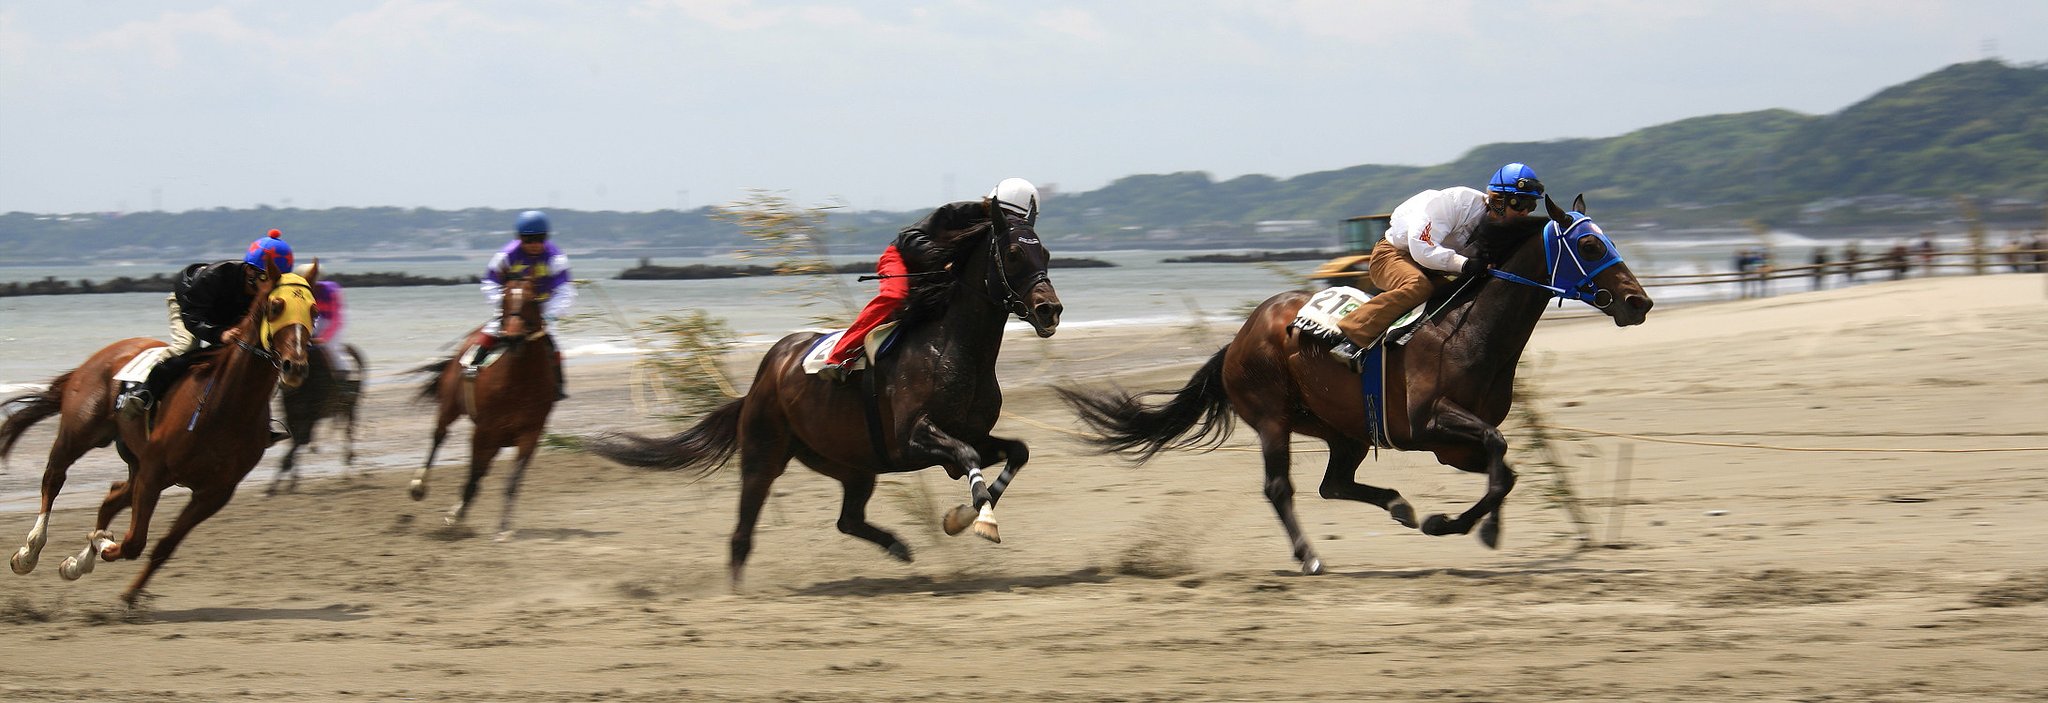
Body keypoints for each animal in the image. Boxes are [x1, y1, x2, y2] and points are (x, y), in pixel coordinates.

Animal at [0, 262, 313, 604]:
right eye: (275, 306)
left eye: (313, 310)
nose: (295, 366)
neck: (224, 408)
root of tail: (102, 355)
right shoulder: (155, 472)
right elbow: (134, 541)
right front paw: (103, 543)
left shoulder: (214, 492)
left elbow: (162, 546)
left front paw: (127, 591)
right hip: (80, 433)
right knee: (54, 478)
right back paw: (29, 553)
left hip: (136, 460)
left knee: (111, 498)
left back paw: (77, 563)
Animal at [266, 341, 367, 495]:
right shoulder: (292, 416)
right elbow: (294, 443)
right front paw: (292, 482)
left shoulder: (311, 417)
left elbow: (299, 443)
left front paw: (273, 486)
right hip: (341, 409)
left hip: (350, 406)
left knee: (348, 431)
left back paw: (347, 469)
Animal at [408, 275, 558, 541]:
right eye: (504, 299)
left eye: (532, 300)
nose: (513, 338)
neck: (520, 381)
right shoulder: (485, 431)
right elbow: (474, 474)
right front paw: (454, 518)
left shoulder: (529, 434)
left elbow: (512, 480)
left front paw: (504, 527)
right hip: (450, 406)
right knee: (439, 436)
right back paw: (419, 485)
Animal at [586, 199, 1063, 586]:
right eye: (1014, 253)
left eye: (1045, 253)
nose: (1050, 310)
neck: (953, 346)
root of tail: (763, 376)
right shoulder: (913, 437)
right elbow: (965, 457)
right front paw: (980, 520)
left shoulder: (974, 435)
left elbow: (1016, 452)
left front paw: (963, 516)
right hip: (763, 456)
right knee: (742, 534)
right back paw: (736, 593)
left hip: (852, 463)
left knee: (847, 520)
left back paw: (897, 546)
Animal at [1058, 195, 1653, 574]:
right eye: (1591, 246)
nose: (1639, 302)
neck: (1467, 333)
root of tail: (1239, 337)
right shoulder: (1429, 424)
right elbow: (1500, 452)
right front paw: (1450, 524)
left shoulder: (1452, 446)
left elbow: (1504, 468)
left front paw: (1476, 528)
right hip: (1273, 418)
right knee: (1282, 489)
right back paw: (1309, 556)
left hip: (1342, 429)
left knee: (1334, 484)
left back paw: (1397, 506)